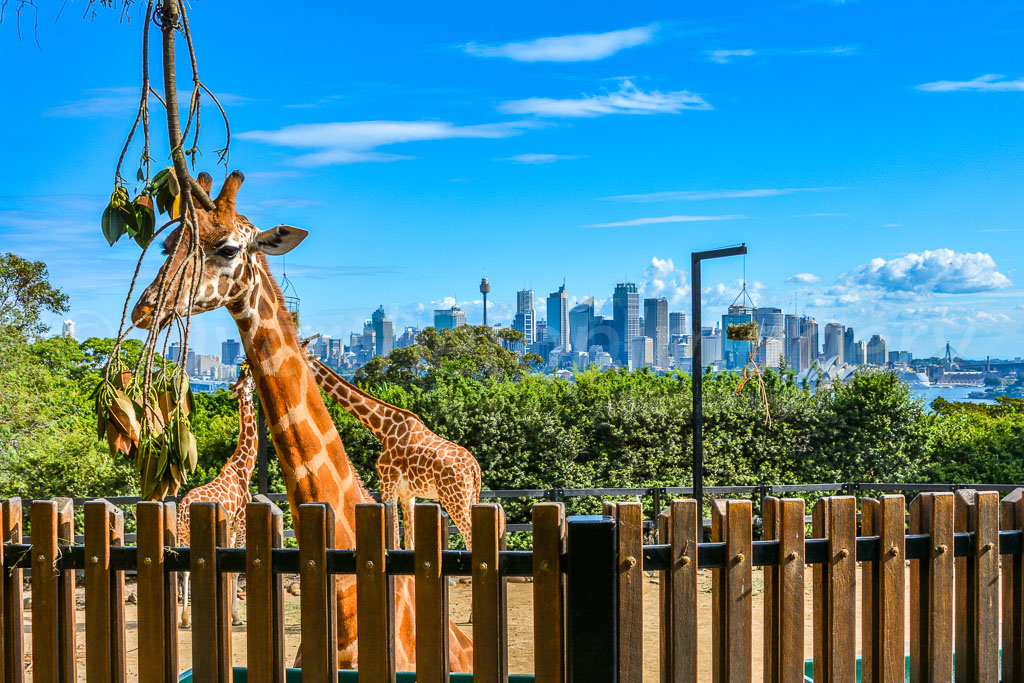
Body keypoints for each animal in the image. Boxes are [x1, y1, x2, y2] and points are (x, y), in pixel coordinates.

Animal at [176, 370, 256, 626]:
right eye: (249, 383)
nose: (251, 374)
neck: (244, 468)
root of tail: (182, 508)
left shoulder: (230, 528)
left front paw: (231, 613)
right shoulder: (241, 524)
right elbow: (236, 570)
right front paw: (236, 617)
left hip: (183, 533)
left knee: (184, 569)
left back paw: (184, 618)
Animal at [305, 356, 481, 552]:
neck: (383, 428)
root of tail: (474, 467)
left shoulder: (388, 483)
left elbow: (395, 534)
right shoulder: (408, 494)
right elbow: (409, 541)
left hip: (453, 497)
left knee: (469, 536)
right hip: (470, 496)